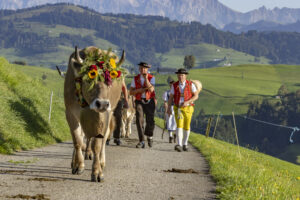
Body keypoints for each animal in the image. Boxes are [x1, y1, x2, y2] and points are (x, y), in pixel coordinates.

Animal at [63, 46, 125, 182]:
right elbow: (77, 140)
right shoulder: (70, 113)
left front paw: (97, 172)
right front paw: (78, 165)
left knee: (104, 139)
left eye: (109, 81)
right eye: (91, 77)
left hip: (109, 113)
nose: (102, 104)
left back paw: (102, 162)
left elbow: (97, 144)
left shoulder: (102, 117)